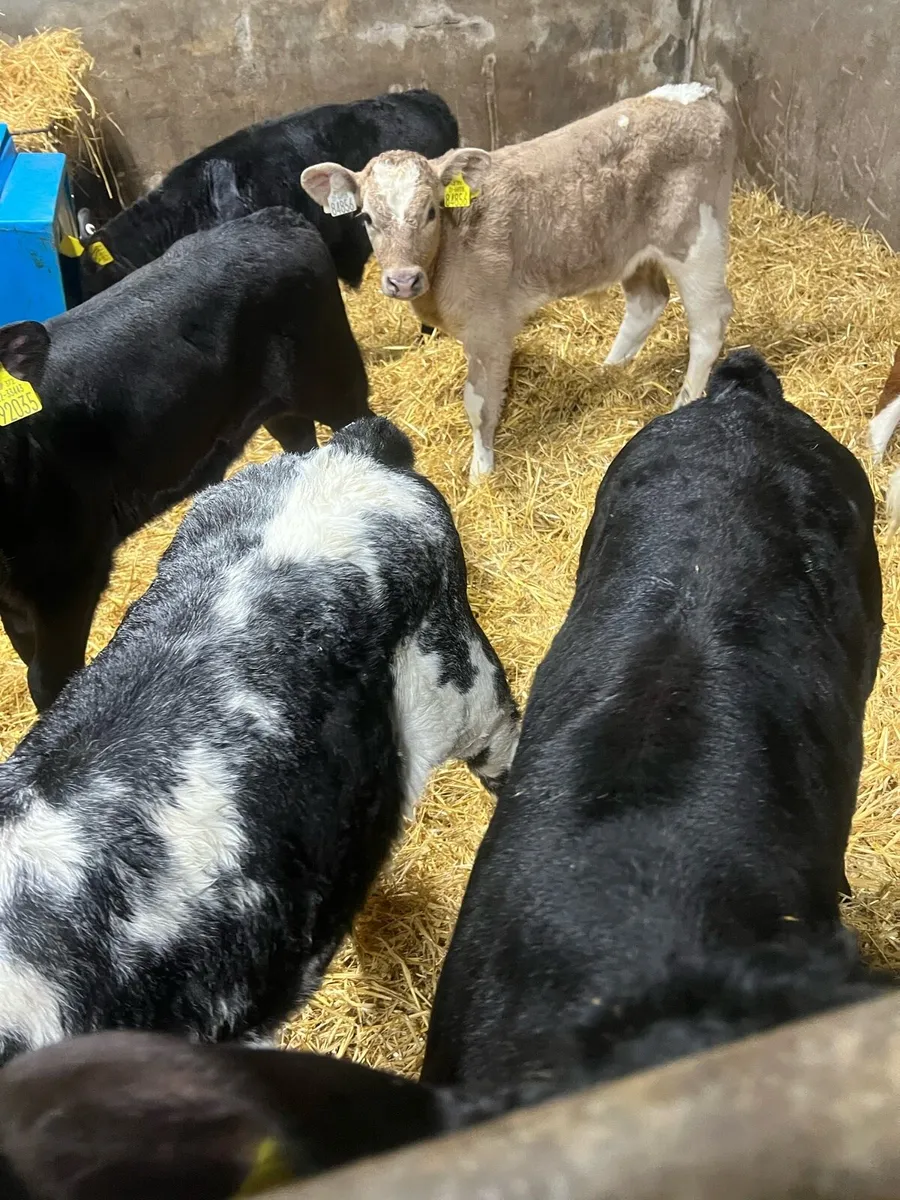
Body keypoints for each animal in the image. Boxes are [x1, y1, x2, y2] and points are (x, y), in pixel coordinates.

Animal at [302, 83, 735, 482]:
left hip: (696, 240)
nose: (403, 280)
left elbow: (479, 404)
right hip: (631, 249)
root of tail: (696, 93)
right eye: (367, 218)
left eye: (430, 212)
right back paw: (610, 368)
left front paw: (481, 471)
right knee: (647, 302)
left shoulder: (489, 327)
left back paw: (682, 403)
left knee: (708, 324)